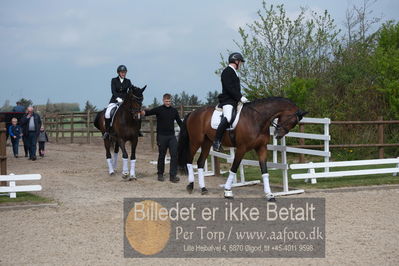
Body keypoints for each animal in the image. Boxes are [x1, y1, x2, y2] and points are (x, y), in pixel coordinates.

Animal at [177, 97, 308, 202]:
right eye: (292, 121)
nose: (278, 135)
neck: (256, 119)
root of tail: (193, 112)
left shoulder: (261, 148)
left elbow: (265, 171)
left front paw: (269, 195)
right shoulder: (241, 148)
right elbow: (234, 168)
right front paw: (227, 192)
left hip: (207, 142)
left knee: (200, 162)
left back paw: (203, 189)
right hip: (196, 141)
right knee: (189, 159)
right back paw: (190, 186)